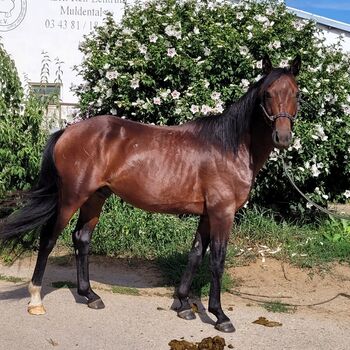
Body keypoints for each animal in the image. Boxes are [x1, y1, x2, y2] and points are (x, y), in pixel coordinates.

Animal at [0, 56, 300, 332]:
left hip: (96, 197)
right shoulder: (222, 213)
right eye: (267, 93)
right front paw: (220, 316)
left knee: (82, 238)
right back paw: (36, 300)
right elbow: (217, 260)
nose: (283, 138)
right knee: (48, 238)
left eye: (296, 93)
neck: (229, 147)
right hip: (72, 197)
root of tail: (67, 131)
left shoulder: (207, 214)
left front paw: (183, 304)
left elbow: (195, 254)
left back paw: (90, 295)